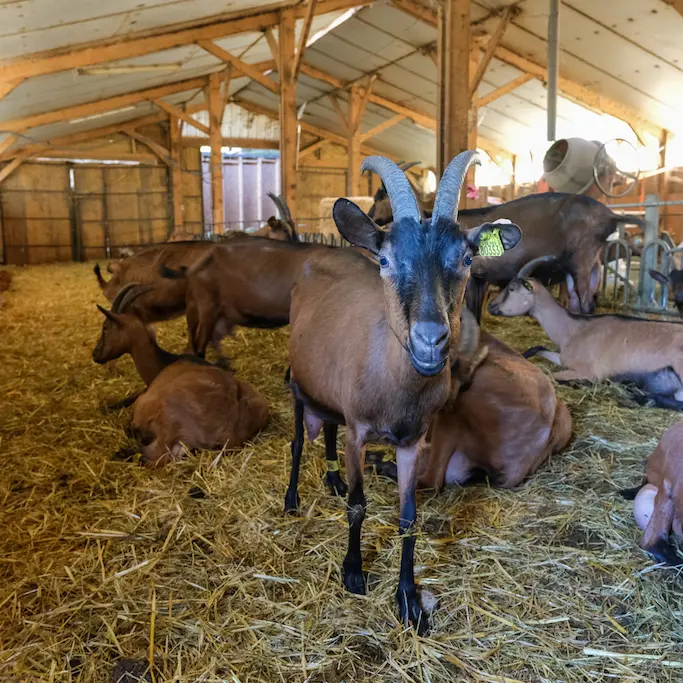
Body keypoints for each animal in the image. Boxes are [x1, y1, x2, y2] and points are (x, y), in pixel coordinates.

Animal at [286, 152, 520, 632]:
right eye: (385, 260)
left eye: (466, 258)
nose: (430, 339)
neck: (396, 388)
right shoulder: (359, 431)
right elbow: (358, 506)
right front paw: (353, 572)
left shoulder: (414, 438)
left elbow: (409, 517)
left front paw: (409, 599)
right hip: (298, 383)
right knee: (300, 440)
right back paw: (292, 498)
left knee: (328, 427)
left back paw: (332, 478)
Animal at [492, 254, 683, 408]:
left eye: (511, 289)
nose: (491, 306)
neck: (574, 329)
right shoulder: (564, 359)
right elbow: (537, 348)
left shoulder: (588, 371)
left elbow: (549, 374)